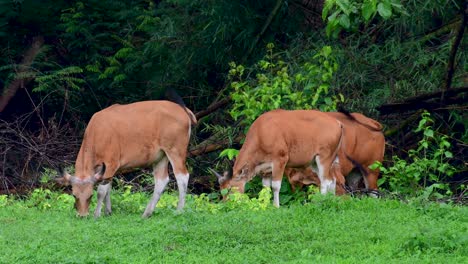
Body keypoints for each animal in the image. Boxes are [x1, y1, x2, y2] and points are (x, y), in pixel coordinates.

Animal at [55, 100, 197, 218]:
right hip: (161, 157)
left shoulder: (111, 163)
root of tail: (183, 110)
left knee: (182, 177)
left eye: (90, 195)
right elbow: (108, 188)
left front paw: (97, 214)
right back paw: (147, 213)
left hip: (175, 151)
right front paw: (108, 211)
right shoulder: (106, 169)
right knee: (161, 181)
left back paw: (179, 210)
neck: (98, 133)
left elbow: (102, 190)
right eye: (74, 195)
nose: (82, 215)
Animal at [213, 109, 344, 206]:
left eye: (229, 188)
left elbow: (275, 186)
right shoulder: (265, 170)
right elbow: (265, 188)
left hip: (324, 157)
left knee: (325, 180)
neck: (261, 134)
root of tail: (338, 123)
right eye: (221, 190)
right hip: (316, 161)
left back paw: (321, 202)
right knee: (332, 179)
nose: (225, 204)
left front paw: (276, 206)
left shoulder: (280, 160)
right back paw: (332, 200)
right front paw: (265, 205)